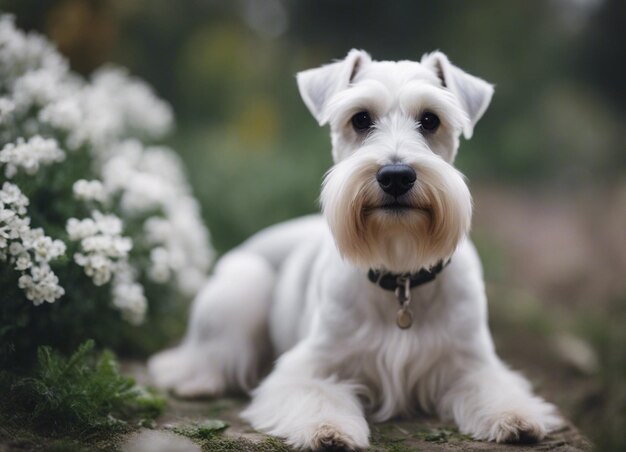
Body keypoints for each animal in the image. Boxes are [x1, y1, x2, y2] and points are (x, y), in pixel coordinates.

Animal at [149, 49, 560, 448]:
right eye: (361, 119)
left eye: (430, 120)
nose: (396, 176)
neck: (400, 270)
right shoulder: (310, 366)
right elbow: (318, 394)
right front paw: (328, 429)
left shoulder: (472, 363)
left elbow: (494, 388)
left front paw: (515, 417)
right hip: (242, 289)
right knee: (208, 352)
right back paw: (198, 380)